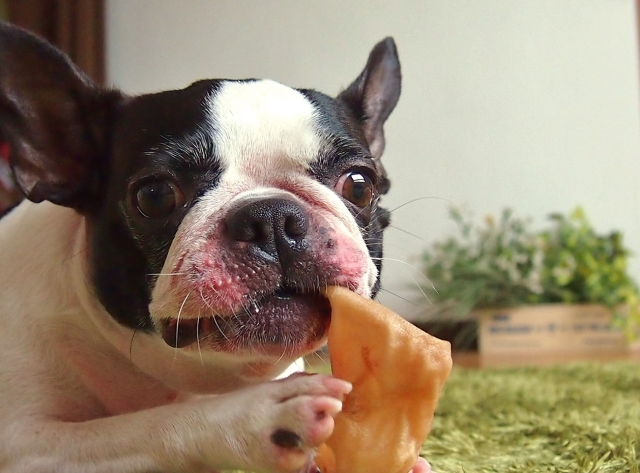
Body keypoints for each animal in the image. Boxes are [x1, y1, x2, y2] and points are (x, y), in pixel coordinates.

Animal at [0, 21, 430, 472]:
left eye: (360, 185)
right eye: (154, 195)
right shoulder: (27, 444)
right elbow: (149, 425)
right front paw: (258, 416)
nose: (272, 218)